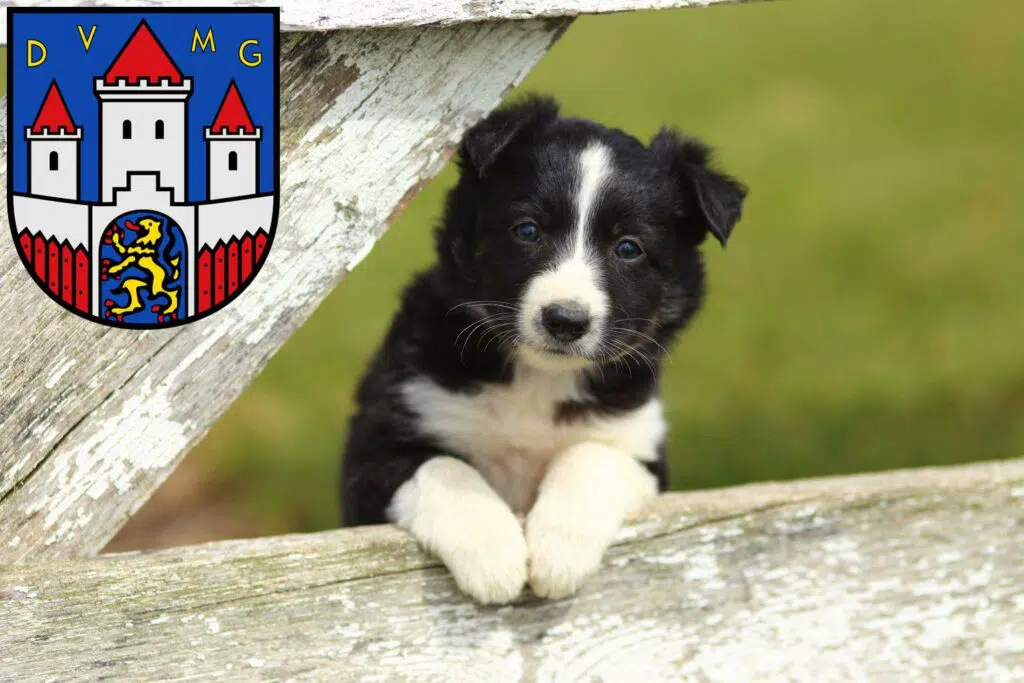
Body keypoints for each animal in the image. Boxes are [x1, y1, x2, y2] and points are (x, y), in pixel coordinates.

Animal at [339, 96, 749, 602]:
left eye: (629, 248)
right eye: (528, 230)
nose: (565, 321)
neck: (537, 378)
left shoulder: (640, 447)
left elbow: (591, 456)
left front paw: (559, 553)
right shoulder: (376, 445)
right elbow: (443, 467)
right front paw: (493, 554)